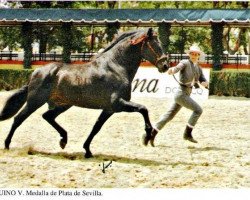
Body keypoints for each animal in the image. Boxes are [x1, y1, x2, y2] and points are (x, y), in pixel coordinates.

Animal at [0, 27, 169, 158]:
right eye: (154, 44)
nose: (165, 65)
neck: (116, 67)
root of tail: (36, 72)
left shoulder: (109, 109)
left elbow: (96, 127)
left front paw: (87, 150)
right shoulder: (118, 104)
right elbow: (143, 109)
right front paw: (148, 136)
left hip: (64, 104)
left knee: (47, 116)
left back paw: (63, 140)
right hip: (35, 101)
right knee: (18, 119)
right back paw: (7, 145)